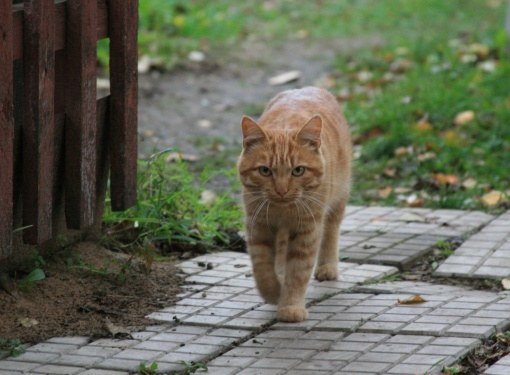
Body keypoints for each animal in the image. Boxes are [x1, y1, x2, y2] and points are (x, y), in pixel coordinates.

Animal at [238, 86, 350, 322]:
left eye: (298, 170)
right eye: (265, 170)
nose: (281, 190)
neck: (283, 211)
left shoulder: (307, 230)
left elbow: (298, 271)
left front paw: (290, 306)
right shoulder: (258, 225)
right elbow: (262, 267)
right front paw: (273, 292)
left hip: (338, 198)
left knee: (331, 231)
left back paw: (327, 266)